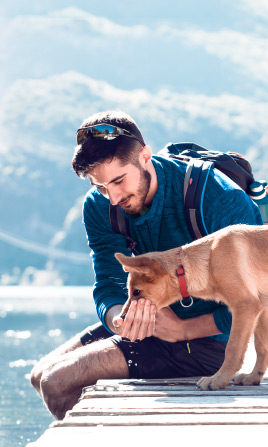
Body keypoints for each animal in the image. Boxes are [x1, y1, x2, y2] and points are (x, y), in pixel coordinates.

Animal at [115, 226, 268, 390]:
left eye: (136, 292)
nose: (120, 320)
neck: (208, 260)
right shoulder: (262, 308)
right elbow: (261, 347)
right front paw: (253, 377)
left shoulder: (245, 305)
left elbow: (232, 349)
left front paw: (218, 379)